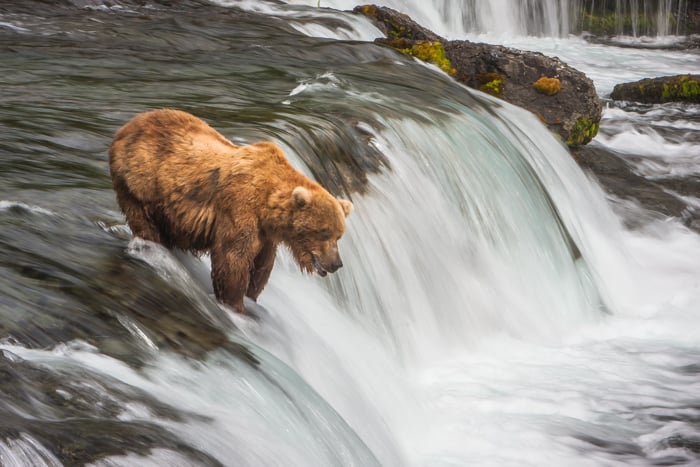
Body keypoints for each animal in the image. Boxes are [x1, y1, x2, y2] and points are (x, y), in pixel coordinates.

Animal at [109, 109, 353, 314]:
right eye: (324, 233)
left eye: (339, 236)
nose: (336, 264)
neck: (267, 206)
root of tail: (128, 125)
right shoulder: (240, 209)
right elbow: (233, 259)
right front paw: (235, 305)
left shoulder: (267, 235)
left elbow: (262, 267)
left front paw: (251, 296)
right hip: (139, 182)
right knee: (143, 221)